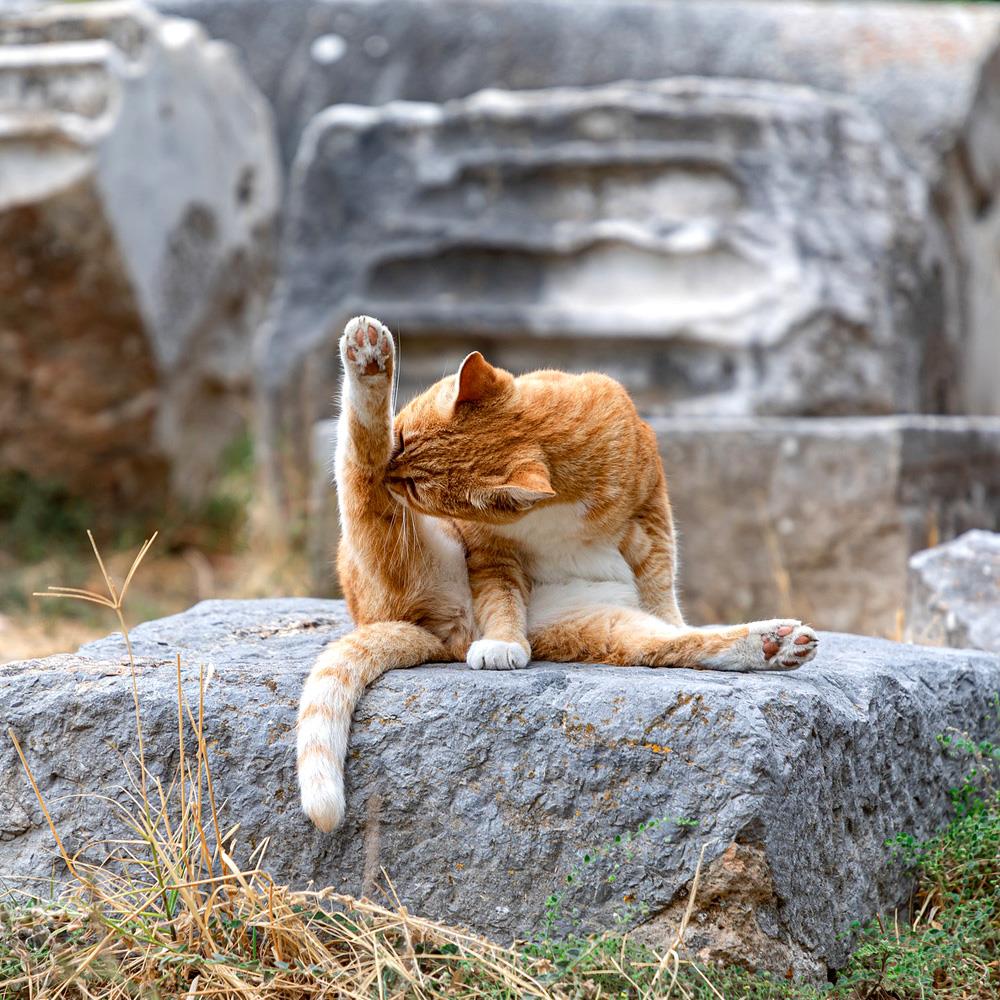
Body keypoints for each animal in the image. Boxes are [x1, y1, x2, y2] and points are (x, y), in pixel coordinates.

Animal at [294, 316, 812, 832]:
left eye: (417, 486)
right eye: (399, 440)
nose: (391, 473)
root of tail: (442, 637)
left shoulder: (651, 511)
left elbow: (660, 578)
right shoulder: (491, 549)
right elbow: (501, 596)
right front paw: (503, 643)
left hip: (601, 625)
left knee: (674, 643)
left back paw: (773, 644)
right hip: (399, 549)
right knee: (359, 467)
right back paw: (369, 360)